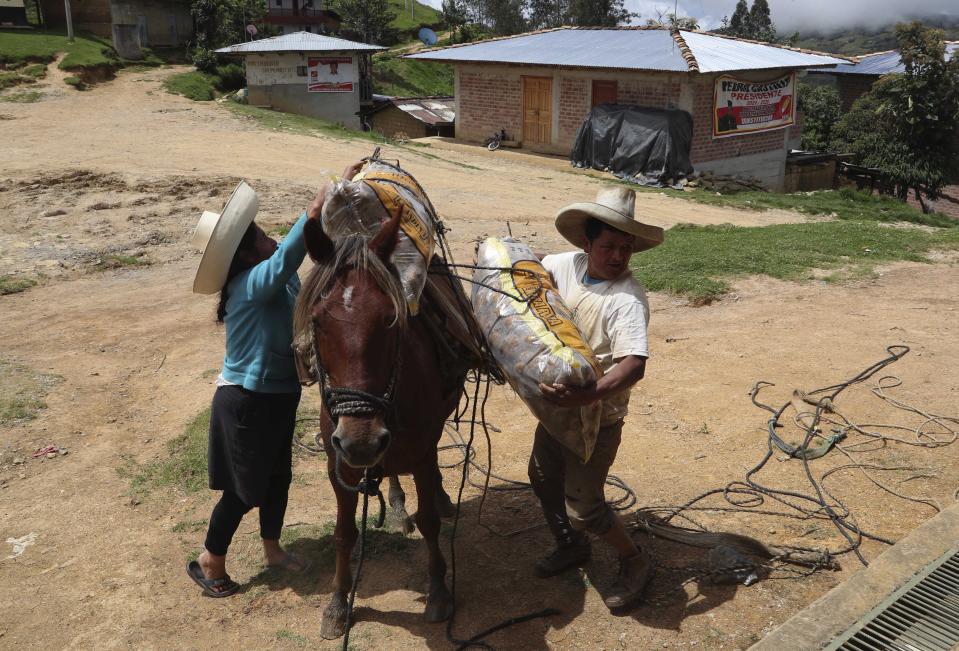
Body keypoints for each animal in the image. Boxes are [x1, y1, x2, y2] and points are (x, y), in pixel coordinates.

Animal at [296, 210, 468, 640]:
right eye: (318, 322)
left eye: (391, 318)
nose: (362, 441)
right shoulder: (338, 465)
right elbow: (344, 534)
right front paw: (338, 603)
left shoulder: (421, 453)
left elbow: (429, 522)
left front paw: (439, 591)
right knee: (389, 473)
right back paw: (395, 503)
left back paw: (439, 497)